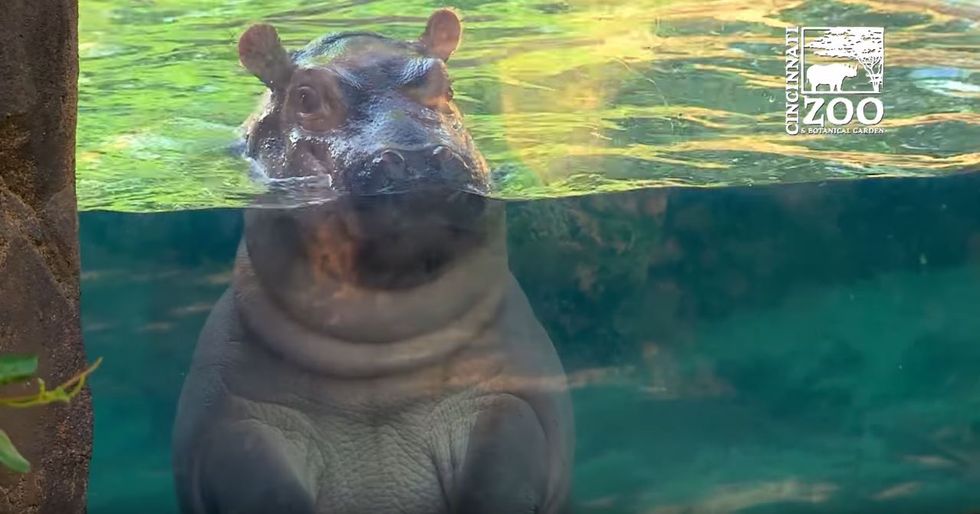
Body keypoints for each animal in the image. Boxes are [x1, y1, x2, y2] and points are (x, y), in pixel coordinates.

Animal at [171, 9, 574, 514]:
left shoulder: (510, 394)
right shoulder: (236, 417)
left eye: (447, 85)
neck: (377, 356)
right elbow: (260, 479)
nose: (417, 160)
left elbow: (500, 466)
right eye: (304, 97)